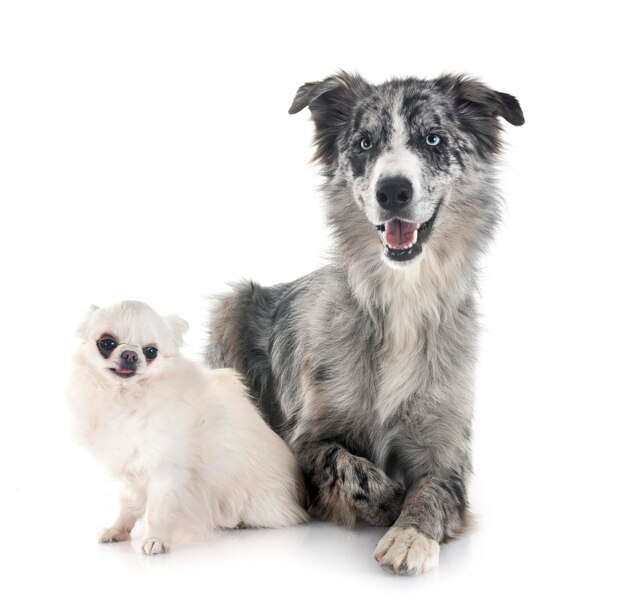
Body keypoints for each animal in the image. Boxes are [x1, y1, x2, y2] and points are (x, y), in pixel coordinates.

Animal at [67, 300, 308, 556]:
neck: (127, 397)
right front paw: (118, 530)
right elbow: (127, 504)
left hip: (257, 504)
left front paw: (156, 539)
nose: (130, 354)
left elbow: (157, 510)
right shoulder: (131, 470)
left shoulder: (165, 471)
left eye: (151, 352)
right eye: (107, 343)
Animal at [205, 73, 520, 576]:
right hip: (230, 307)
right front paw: (389, 503)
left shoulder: (448, 451)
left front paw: (410, 535)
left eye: (433, 139)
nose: (392, 191)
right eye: (364, 143)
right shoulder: (303, 440)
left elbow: (434, 490)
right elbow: (352, 468)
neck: (402, 296)